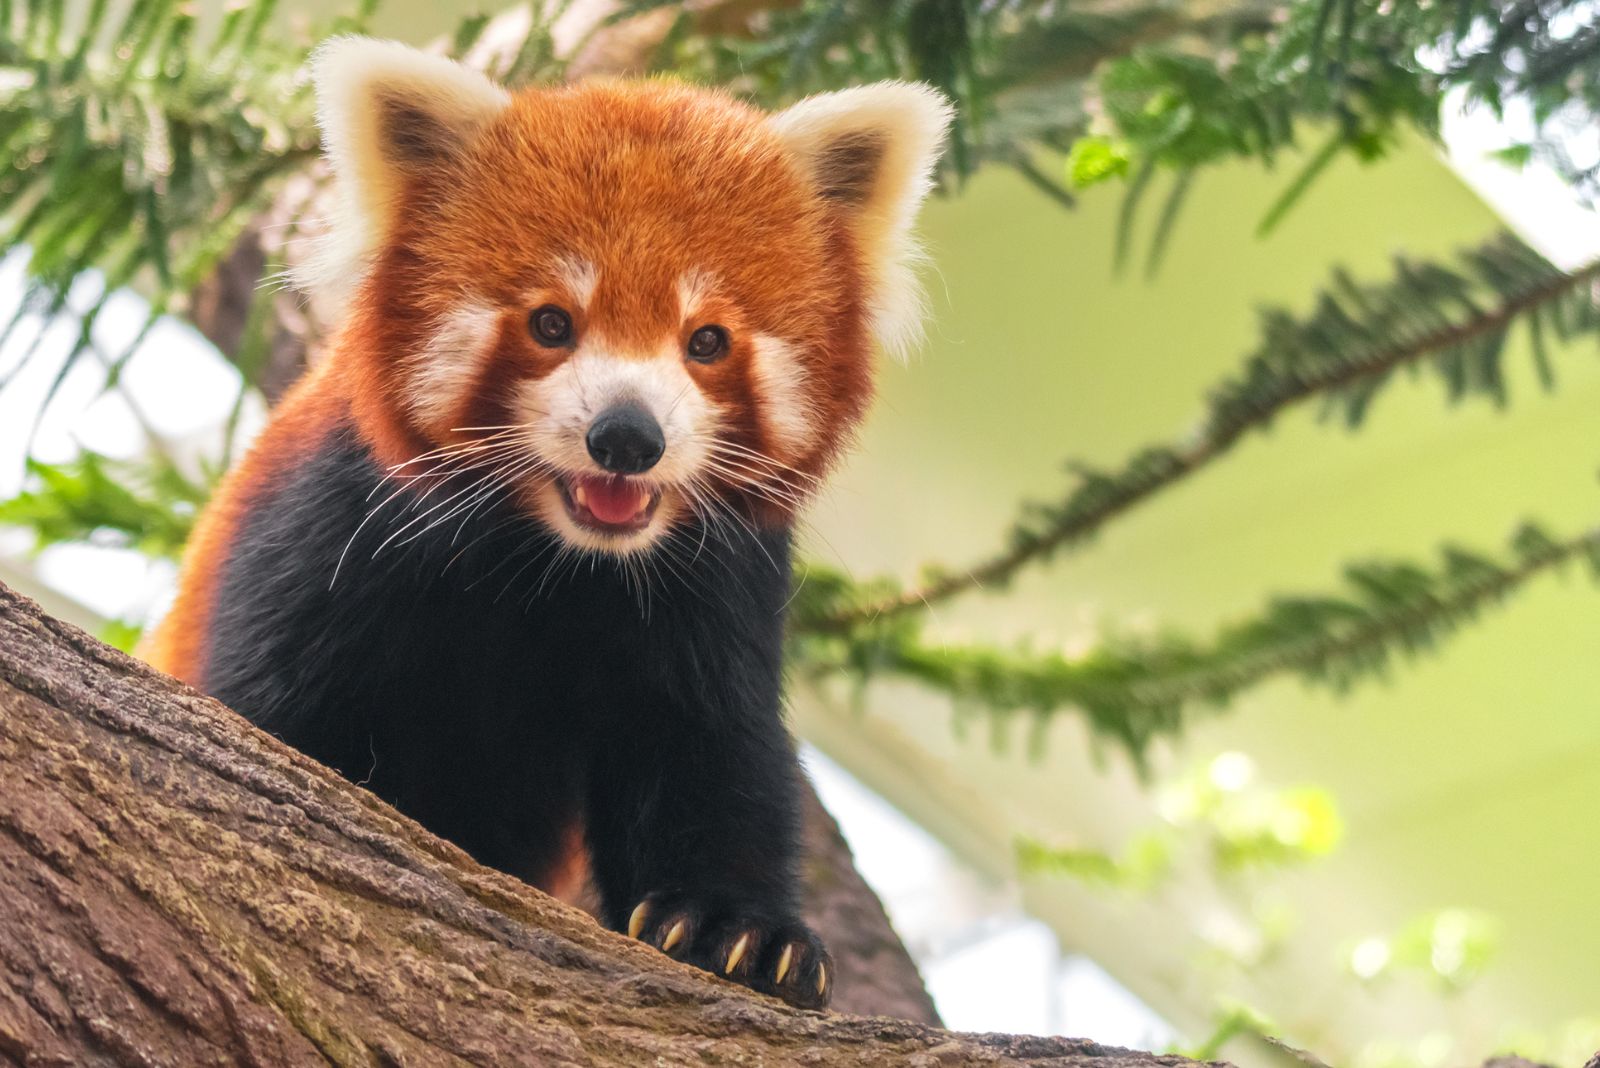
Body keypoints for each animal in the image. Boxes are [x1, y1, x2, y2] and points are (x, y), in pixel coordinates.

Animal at [144, 37, 947, 1010]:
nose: (627, 437)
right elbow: (267, 714)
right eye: (553, 323)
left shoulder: (715, 589)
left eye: (707, 342)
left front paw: (742, 932)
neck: (553, 559)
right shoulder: (329, 532)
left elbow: (712, 751)